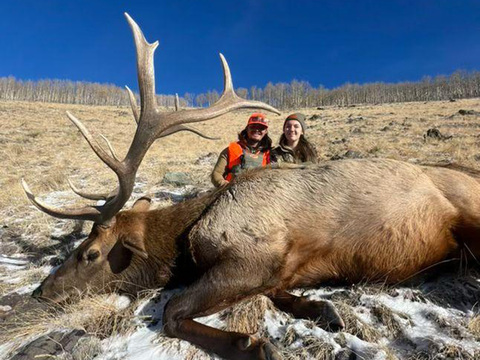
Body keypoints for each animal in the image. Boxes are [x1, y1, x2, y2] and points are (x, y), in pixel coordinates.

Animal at [22, 13, 480, 360]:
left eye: (91, 253)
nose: (41, 292)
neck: (186, 241)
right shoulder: (283, 267)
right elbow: (281, 294)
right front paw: (322, 309)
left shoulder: (254, 255)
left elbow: (172, 311)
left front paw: (252, 345)